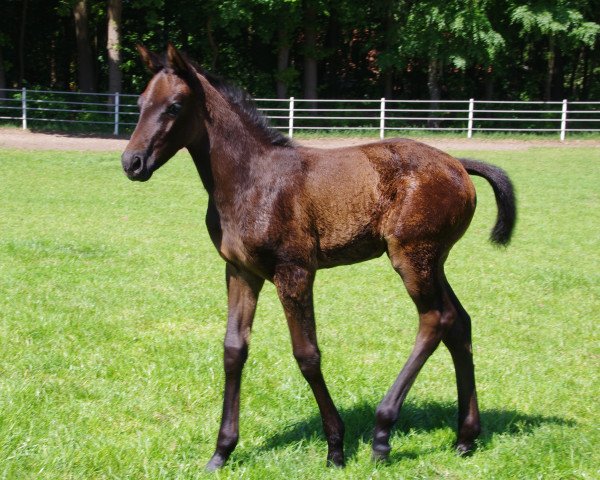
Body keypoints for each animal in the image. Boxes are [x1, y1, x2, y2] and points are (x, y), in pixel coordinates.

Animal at [122, 45, 516, 468]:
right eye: (140, 103)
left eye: (175, 107)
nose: (132, 162)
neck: (251, 180)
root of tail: (458, 164)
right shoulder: (241, 271)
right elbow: (233, 350)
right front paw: (221, 451)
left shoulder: (294, 271)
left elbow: (307, 354)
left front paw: (336, 446)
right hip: (433, 260)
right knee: (459, 322)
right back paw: (465, 436)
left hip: (412, 257)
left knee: (435, 320)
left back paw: (382, 433)